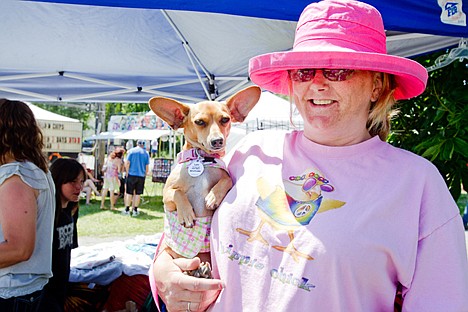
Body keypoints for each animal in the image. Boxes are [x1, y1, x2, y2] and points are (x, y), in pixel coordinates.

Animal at [149, 86, 262, 274]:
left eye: (225, 119)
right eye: (200, 122)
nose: (217, 141)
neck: (201, 159)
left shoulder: (225, 177)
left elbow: (226, 180)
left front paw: (213, 197)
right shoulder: (167, 196)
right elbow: (178, 192)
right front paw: (187, 214)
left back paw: (202, 271)